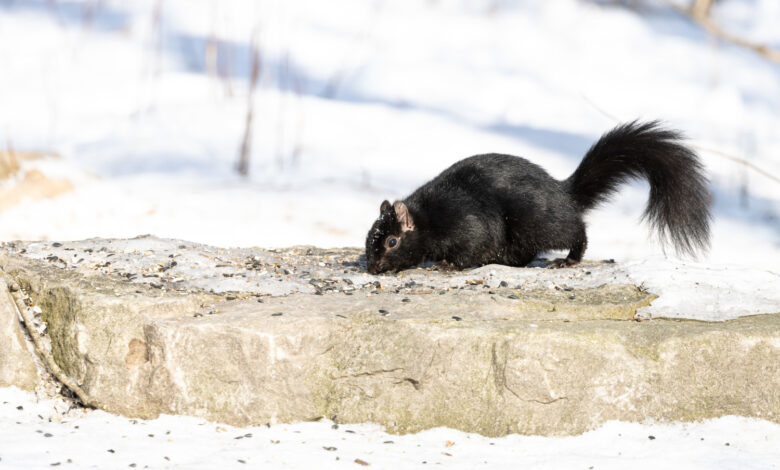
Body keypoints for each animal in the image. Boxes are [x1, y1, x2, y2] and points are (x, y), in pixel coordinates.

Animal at [362, 121, 708, 274]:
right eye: (369, 238)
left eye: (392, 241)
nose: (373, 268)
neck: (427, 218)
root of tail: (562, 193)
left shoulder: (464, 221)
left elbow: (471, 246)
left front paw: (448, 264)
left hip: (536, 221)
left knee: (575, 232)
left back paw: (568, 258)